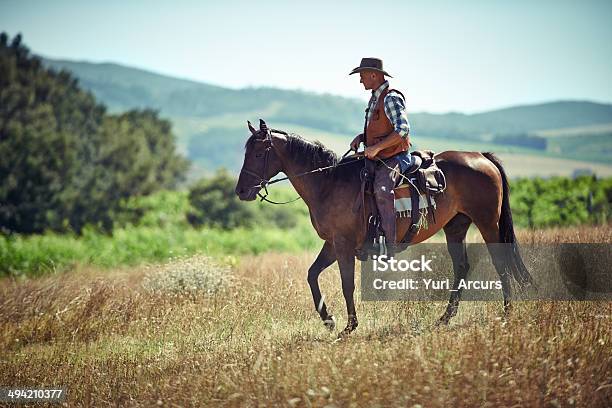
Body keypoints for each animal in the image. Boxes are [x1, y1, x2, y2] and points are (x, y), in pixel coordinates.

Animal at [237, 119, 532, 336]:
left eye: (258, 153)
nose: (240, 191)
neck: (329, 183)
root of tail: (481, 156)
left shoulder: (343, 245)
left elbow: (347, 284)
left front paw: (349, 326)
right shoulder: (332, 243)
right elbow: (312, 275)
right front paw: (329, 320)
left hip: (487, 223)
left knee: (501, 264)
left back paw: (506, 313)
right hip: (456, 227)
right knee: (461, 267)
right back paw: (444, 319)